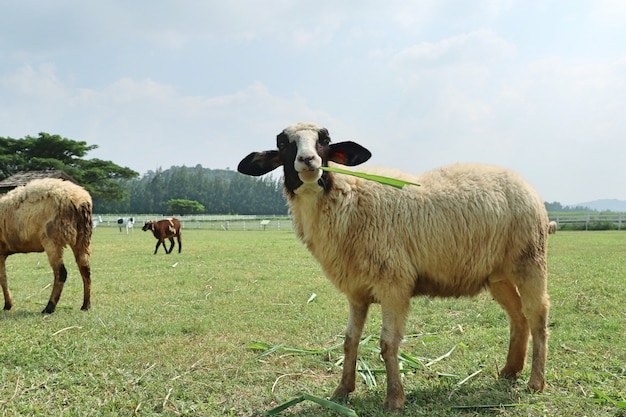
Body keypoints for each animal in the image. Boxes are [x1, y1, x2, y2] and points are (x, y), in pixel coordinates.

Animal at [0, 177, 92, 314]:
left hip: (52, 239)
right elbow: (3, 277)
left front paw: (7, 304)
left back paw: (49, 307)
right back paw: (86, 305)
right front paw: (8, 304)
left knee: (61, 273)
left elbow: (2, 278)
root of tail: (80, 201)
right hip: (82, 238)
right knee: (85, 270)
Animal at [236, 122, 548, 412]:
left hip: (530, 258)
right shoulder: (357, 292)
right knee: (518, 317)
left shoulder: (394, 284)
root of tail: (522, 182)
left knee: (537, 316)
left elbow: (388, 344)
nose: (308, 160)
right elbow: (350, 340)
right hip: (498, 274)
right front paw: (342, 390)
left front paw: (394, 399)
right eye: (283, 144)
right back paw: (510, 371)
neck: (350, 200)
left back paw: (535, 382)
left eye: (324, 140)